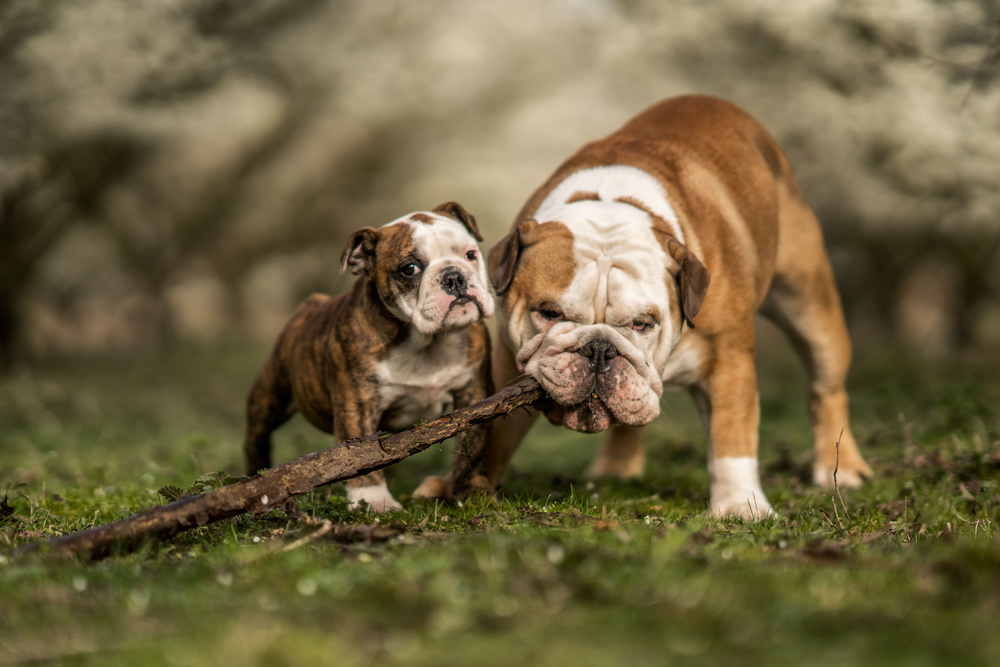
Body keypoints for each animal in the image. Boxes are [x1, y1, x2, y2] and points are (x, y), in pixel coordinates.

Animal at [242, 202, 492, 512]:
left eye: (470, 255)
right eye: (409, 269)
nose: (454, 276)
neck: (426, 342)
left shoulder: (473, 394)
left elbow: (471, 444)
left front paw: (468, 491)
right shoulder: (358, 402)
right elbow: (361, 454)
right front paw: (374, 502)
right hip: (270, 396)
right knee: (257, 436)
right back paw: (256, 480)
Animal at [426, 96, 872, 520]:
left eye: (643, 324)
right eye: (549, 313)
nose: (599, 348)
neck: (610, 204)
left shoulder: (729, 361)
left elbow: (732, 435)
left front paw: (740, 506)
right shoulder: (506, 361)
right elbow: (492, 433)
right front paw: (468, 487)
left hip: (808, 302)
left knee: (826, 388)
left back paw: (842, 468)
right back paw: (616, 467)